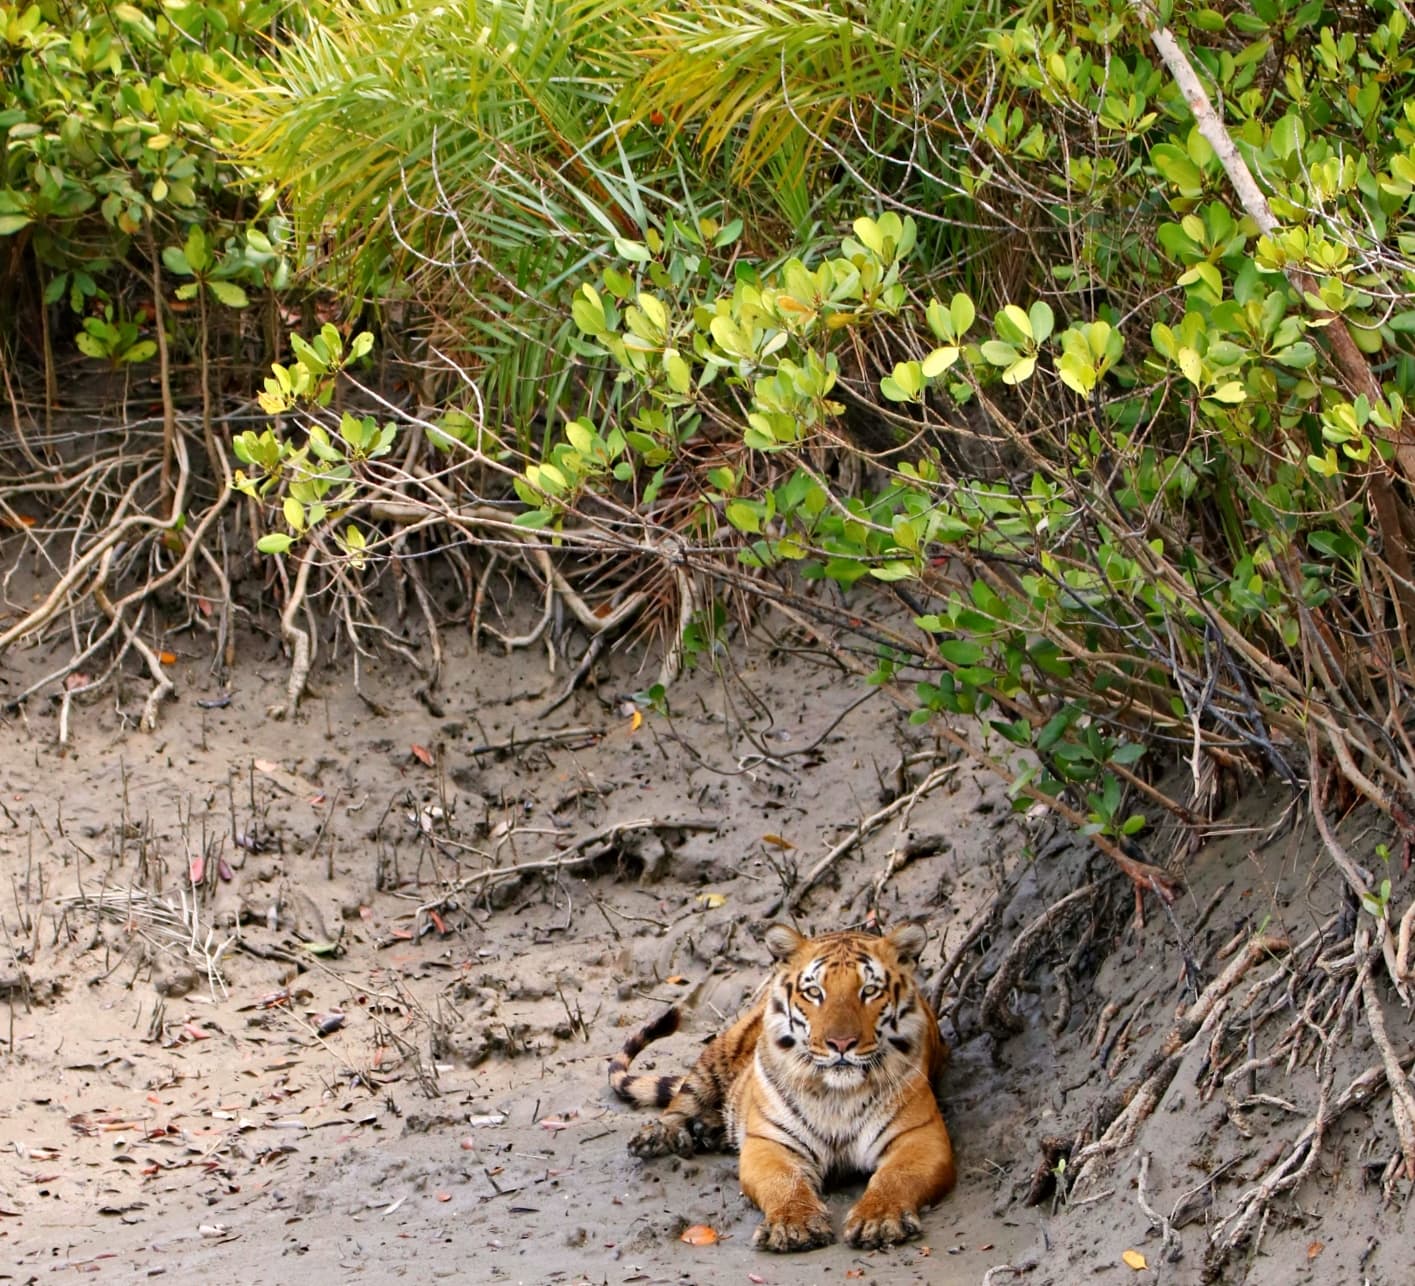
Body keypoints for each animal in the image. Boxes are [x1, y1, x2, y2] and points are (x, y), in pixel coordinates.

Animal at [605, 916, 950, 1250]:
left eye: (869, 991)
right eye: (815, 992)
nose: (840, 1043)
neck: (837, 1094)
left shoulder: (919, 1136)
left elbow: (895, 1178)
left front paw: (878, 1221)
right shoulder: (770, 1142)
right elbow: (784, 1183)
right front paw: (794, 1226)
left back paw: (707, 1130)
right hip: (718, 1053)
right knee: (681, 1103)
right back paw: (661, 1136)